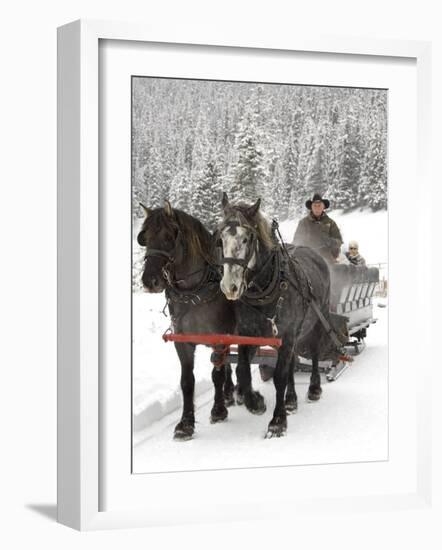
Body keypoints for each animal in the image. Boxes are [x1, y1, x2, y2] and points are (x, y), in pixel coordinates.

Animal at [136, 202, 264, 440]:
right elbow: (187, 381)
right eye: (145, 237)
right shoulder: (183, 342)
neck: (193, 292)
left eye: (169, 236)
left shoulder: (220, 338)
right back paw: (230, 394)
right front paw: (186, 424)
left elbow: (217, 375)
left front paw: (218, 410)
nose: (149, 281)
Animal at [218, 194, 332, 440]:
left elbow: (279, 376)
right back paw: (291, 400)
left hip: (318, 320)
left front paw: (277, 421)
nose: (230, 286)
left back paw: (314, 388)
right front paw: (255, 403)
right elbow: (242, 371)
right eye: (220, 237)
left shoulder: (287, 335)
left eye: (247, 238)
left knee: (315, 353)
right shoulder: (249, 335)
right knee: (291, 363)